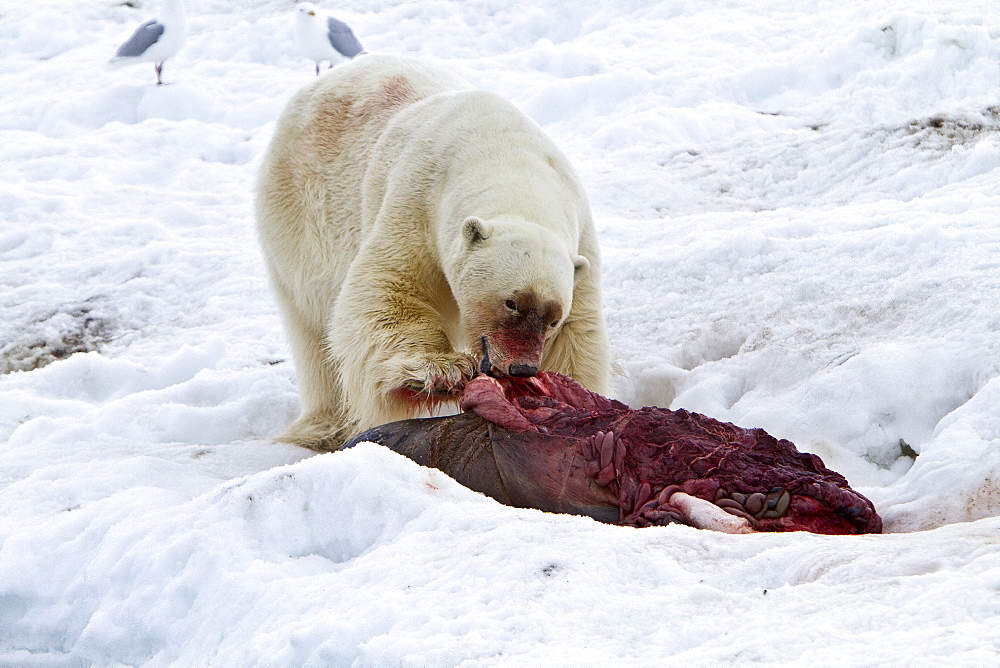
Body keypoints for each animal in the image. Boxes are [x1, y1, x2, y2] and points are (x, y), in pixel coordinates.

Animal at [256, 52, 608, 448]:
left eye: (553, 318)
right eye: (511, 302)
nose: (522, 367)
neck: (509, 161)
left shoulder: (580, 242)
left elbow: (579, 337)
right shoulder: (419, 200)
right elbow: (389, 290)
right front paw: (442, 372)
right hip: (300, 213)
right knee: (314, 323)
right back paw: (325, 428)